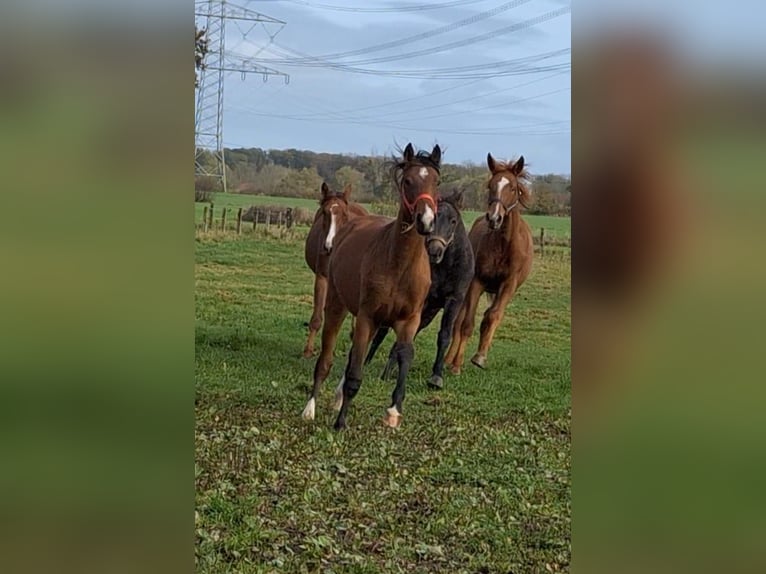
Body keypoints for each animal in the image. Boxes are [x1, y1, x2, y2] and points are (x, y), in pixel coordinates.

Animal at [304, 182, 368, 358]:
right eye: (325, 212)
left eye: (345, 214)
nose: (329, 246)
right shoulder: (322, 277)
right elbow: (318, 317)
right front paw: (308, 350)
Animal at [364, 191, 474, 394]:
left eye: (453, 221)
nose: (434, 251)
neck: (445, 267)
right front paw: (387, 372)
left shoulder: (454, 300)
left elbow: (444, 334)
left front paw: (436, 377)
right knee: (381, 333)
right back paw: (368, 362)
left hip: (429, 312)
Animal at [444, 153, 536, 376]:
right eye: (491, 186)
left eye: (513, 187)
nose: (494, 218)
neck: (504, 245)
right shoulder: (478, 281)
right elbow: (466, 324)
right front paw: (456, 365)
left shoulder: (508, 285)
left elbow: (492, 317)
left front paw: (480, 357)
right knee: (459, 321)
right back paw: (449, 359)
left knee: (490, 316)